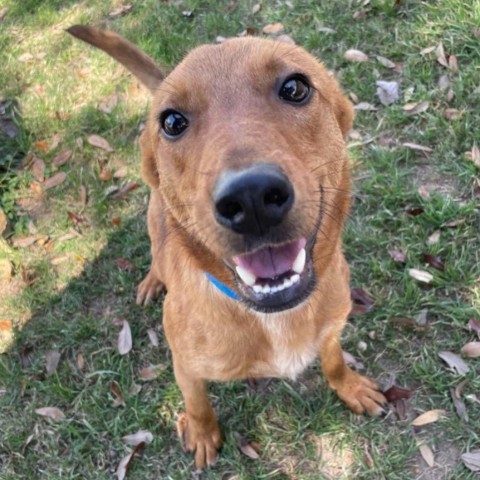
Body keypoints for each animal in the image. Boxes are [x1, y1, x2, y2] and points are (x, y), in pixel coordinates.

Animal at [67, 25, 386, 468]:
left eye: (295, 87)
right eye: (172, 121)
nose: (251, 199)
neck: (274, 318)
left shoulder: (331, 330)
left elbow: (334, 361)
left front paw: (350, 386)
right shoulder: (185, 365)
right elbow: (197, 403)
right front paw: (203, 433)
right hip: (154, 219)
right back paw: (152, 280)